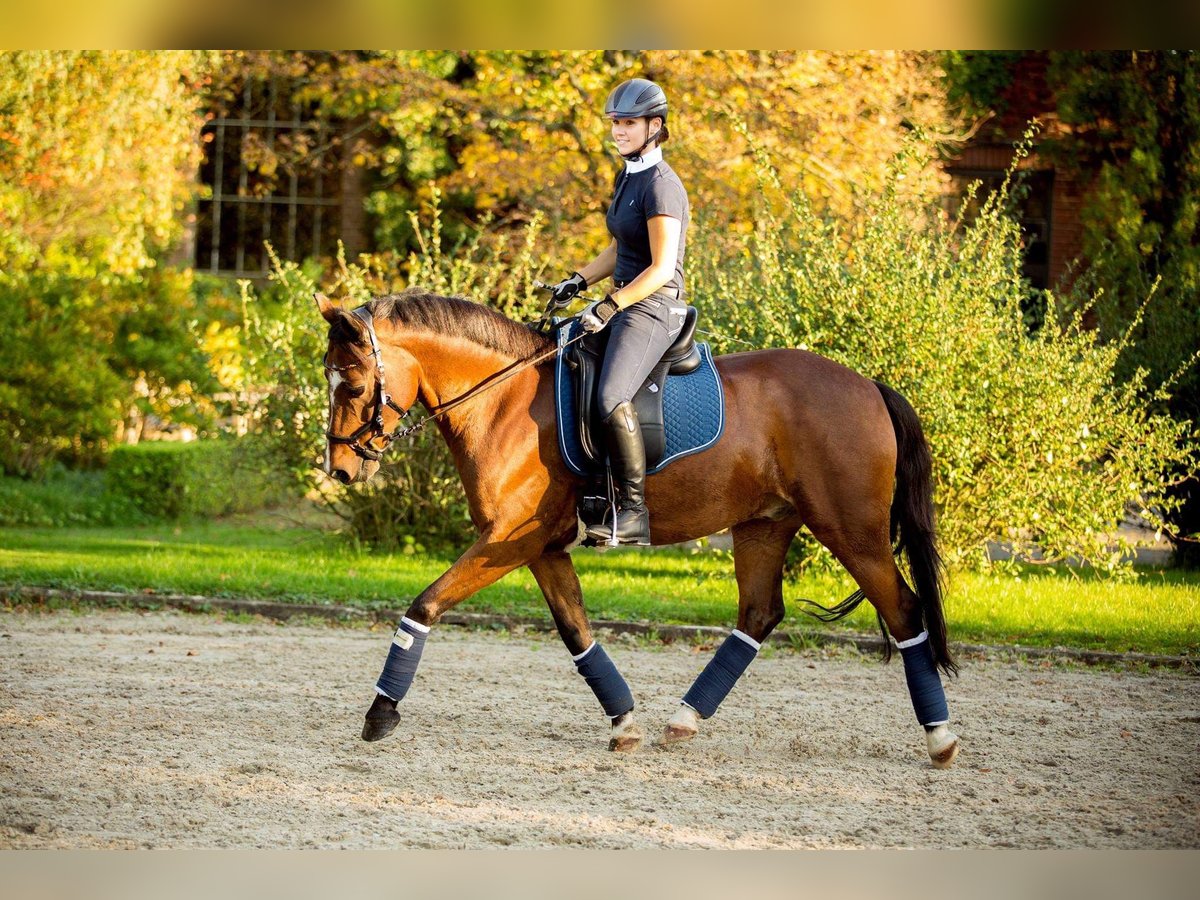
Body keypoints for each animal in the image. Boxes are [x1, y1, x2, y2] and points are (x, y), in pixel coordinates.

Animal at [314, 286, 960, 768]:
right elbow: (576, 632)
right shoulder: (542, 548)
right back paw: (684, 719)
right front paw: (623, 723)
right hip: (764, 524)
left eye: (353, 383)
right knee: (759, 614)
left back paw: (941, 738)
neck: (503, 401)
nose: (340, 469)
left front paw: (380, 713)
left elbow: (423, 605)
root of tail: (867, 385)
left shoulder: (507, 541)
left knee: (905, 612)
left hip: (851, 531)